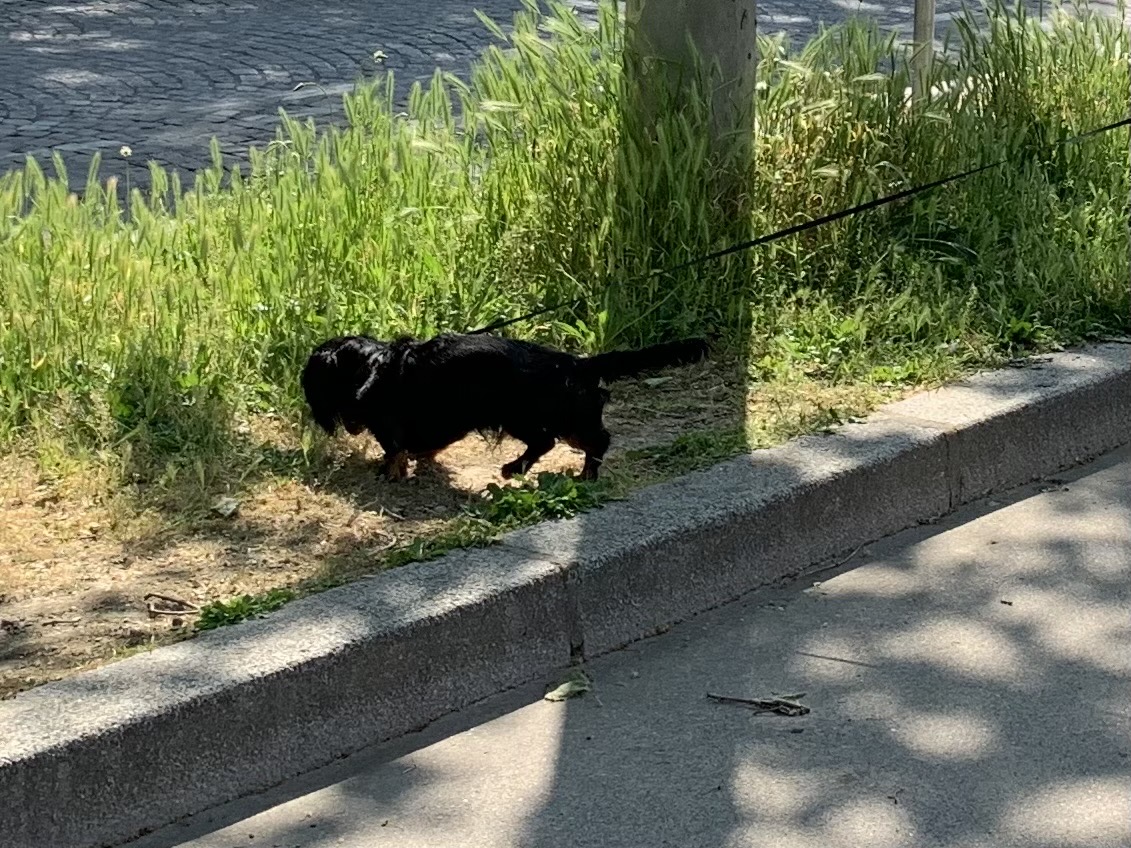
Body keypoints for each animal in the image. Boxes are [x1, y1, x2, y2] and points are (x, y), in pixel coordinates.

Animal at [300, 330, 705, 479]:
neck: (372, 366)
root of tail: (574, 363)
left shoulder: (389, 425)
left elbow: (394, 450)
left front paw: (391, 471)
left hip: (527, 414)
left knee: (573, 441)